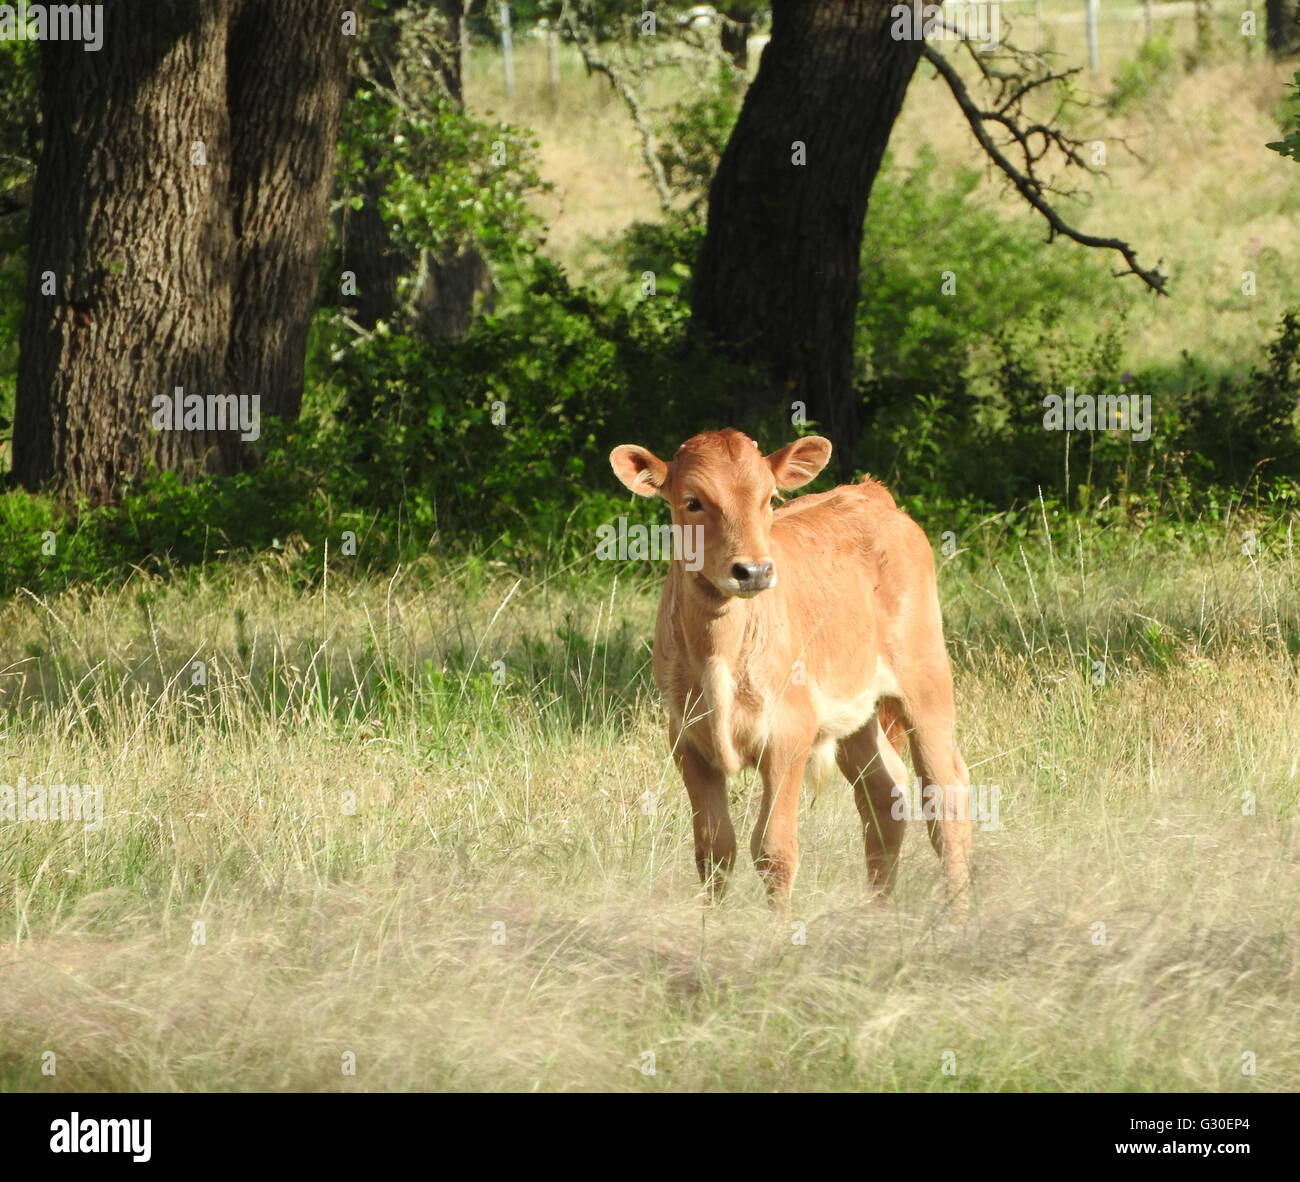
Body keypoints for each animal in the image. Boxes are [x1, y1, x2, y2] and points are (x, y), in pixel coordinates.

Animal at [613, 429, 972, 910]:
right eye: (693, 501)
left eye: (769, 498)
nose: (753, 570)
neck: (718, 653)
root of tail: (870, 493)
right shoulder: (687, 741)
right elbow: (713, 850)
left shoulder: (788, 734)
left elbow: (774, 849)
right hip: (855, 711)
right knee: (884, 794)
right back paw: (880, 913)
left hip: (926, 680)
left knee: (945, 797)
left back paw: (958, 914)